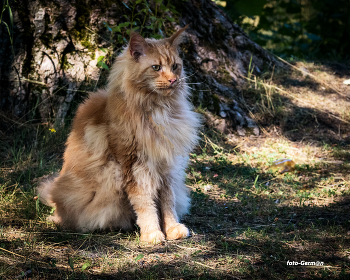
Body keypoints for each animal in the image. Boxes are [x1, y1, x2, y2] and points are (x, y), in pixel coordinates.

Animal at [37, 25, 201, 243]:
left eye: (175, 66)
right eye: (156, 67)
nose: (173, 79)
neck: (159, 110)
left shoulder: (166, 165)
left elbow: (168, 202)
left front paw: (172, 228)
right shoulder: (134, 166)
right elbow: (145, 204)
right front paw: (152, 233)